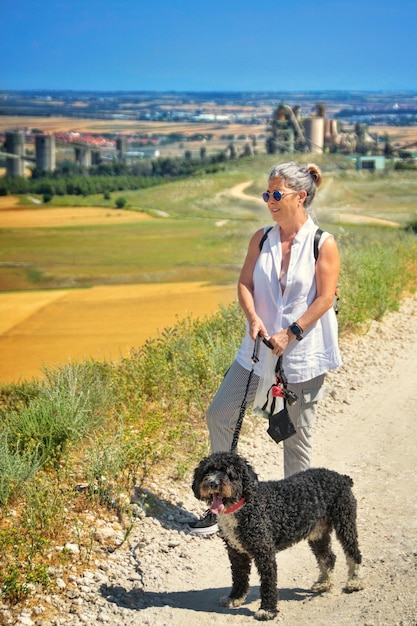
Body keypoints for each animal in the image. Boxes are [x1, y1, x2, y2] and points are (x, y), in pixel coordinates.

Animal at [192, 448, 364, 620]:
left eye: (229, 472)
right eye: (207, 471)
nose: (213, 483)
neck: (243, 505)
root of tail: (342, 478)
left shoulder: (264, 551)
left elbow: (268, 583)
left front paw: (267, 609)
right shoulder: (236, 552)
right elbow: (239, 577)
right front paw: (235, 597)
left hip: (345, 523)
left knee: (353, 553)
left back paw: (354, 581)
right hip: (317, 533)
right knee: (328, 557)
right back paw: (324, 583)